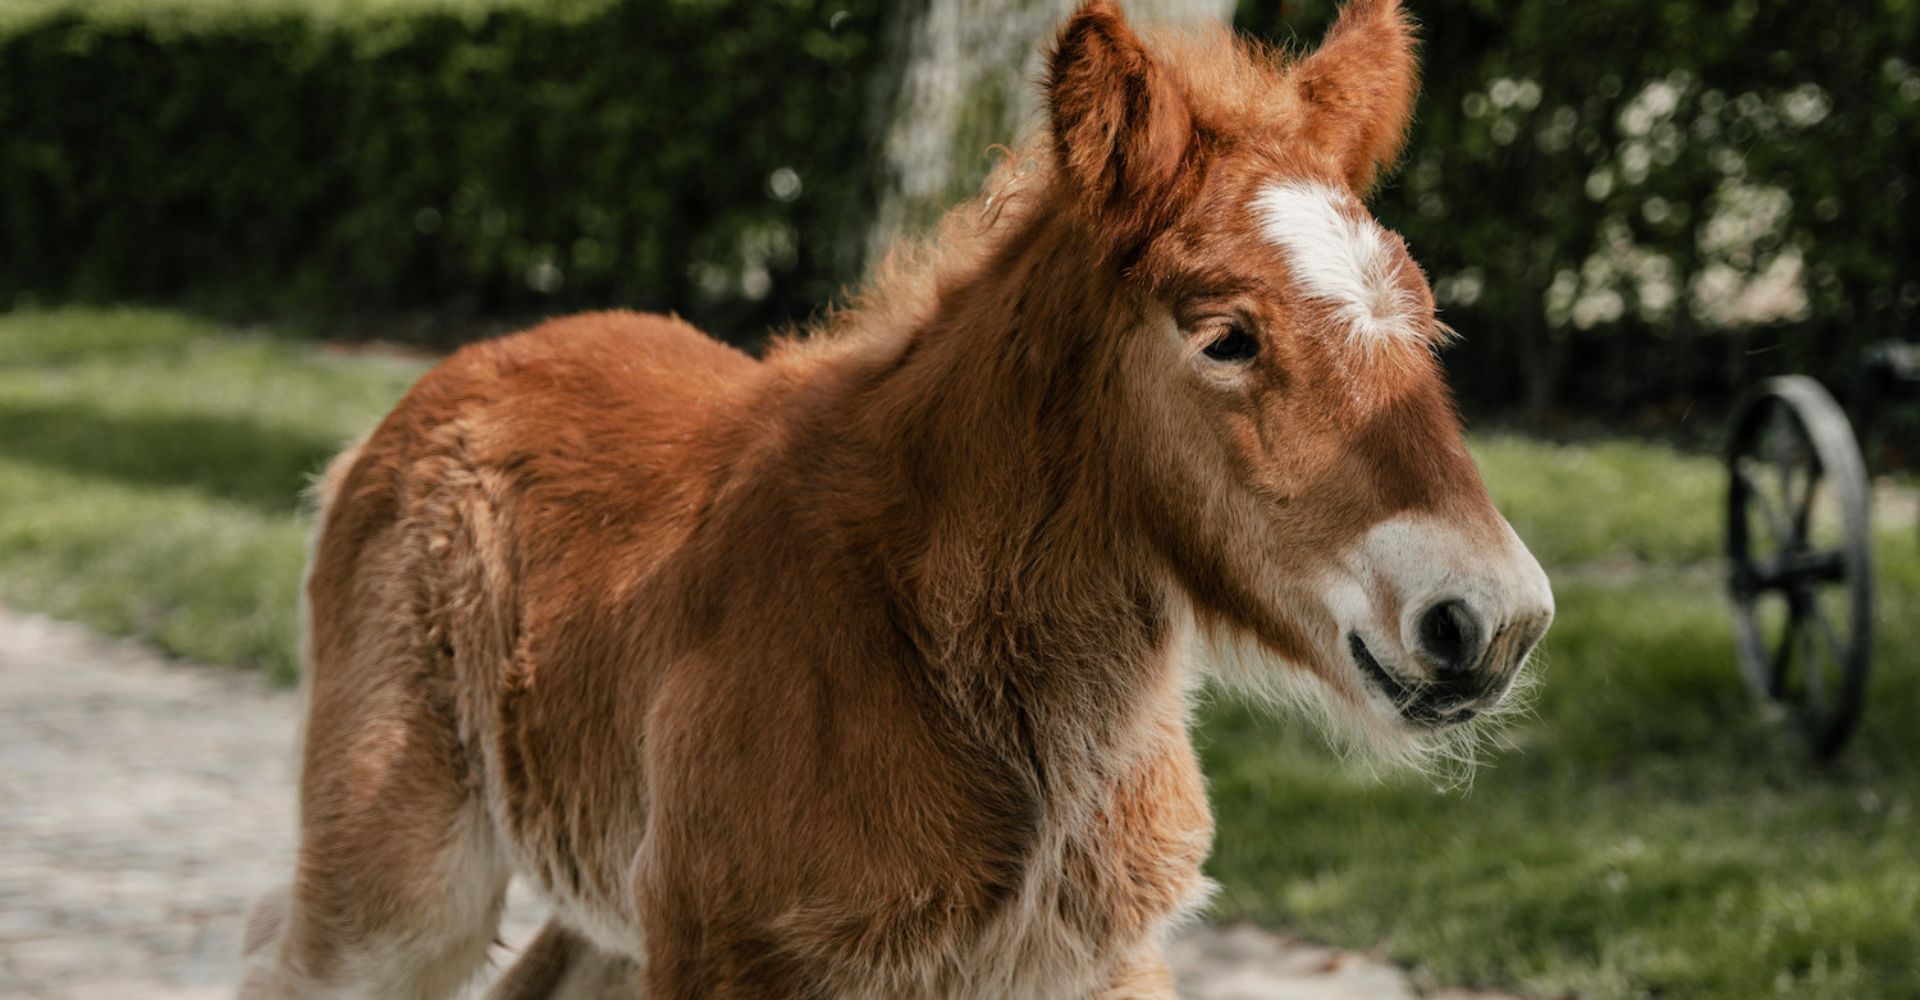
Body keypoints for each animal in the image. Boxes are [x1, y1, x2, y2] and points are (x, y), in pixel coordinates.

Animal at [238, 1, 1553, 996]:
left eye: (1427, 320)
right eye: (1227, 337)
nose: (1489, 619)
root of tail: (432, 392)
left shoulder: (1101, 963)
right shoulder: (737, 961)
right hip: (396, 890)